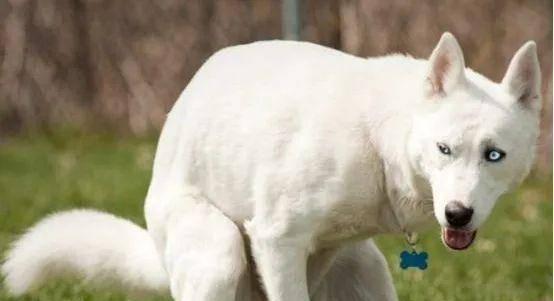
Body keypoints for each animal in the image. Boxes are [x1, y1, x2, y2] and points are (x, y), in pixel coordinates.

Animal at [2, 32, 540, 300]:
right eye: (444, 149)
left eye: (494, 155)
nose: (457, 214)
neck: (378, 138)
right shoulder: (276, 242)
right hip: (218, 254)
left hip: (366, 272)